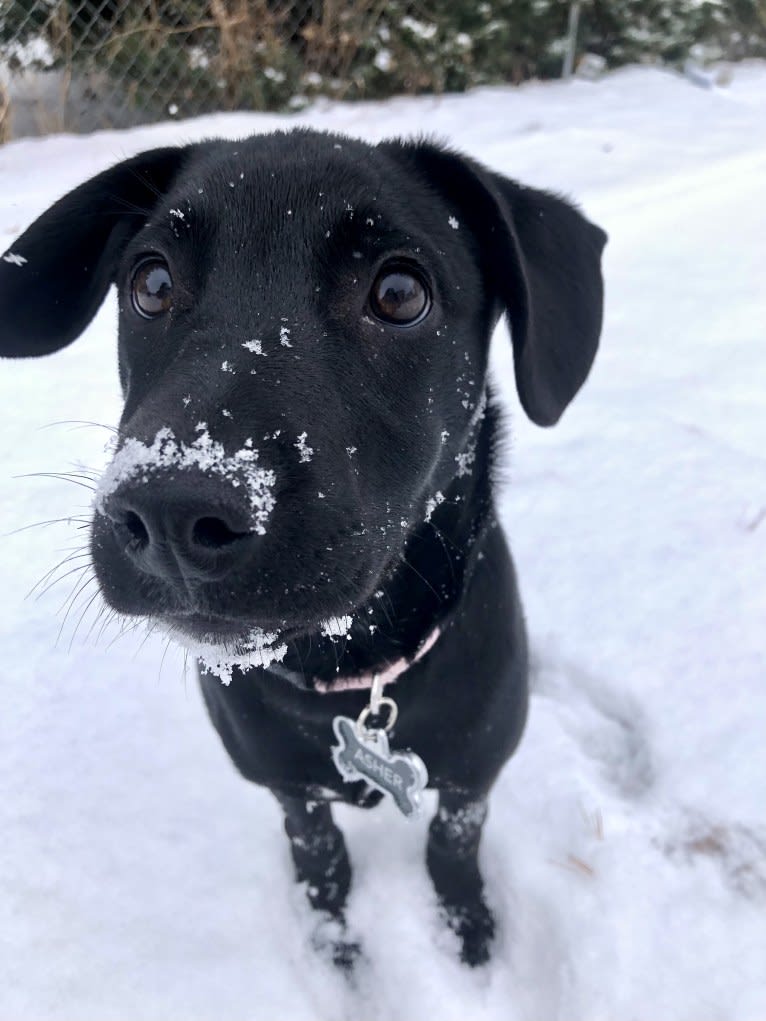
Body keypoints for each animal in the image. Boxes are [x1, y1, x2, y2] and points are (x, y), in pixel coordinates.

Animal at [0, 131, 604, 967]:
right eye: (150, 282)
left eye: (400, 294)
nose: (170, 509)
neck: (355, 677)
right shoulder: (284, 782)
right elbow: (318, 849)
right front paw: (333, 937)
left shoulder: (472, 777)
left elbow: (451, 847)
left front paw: (466, 929)